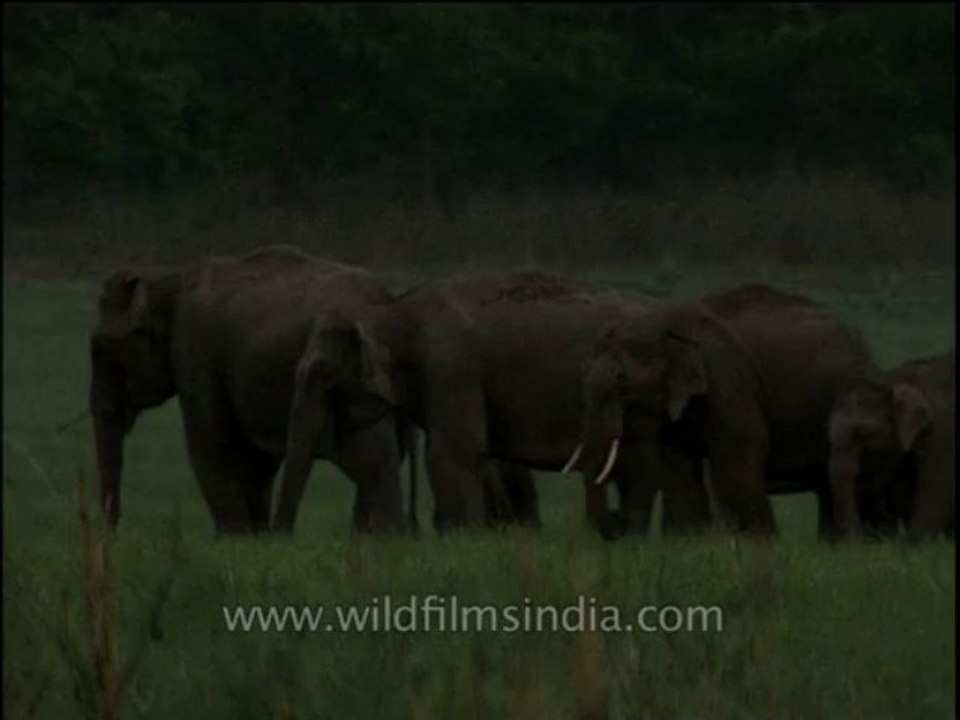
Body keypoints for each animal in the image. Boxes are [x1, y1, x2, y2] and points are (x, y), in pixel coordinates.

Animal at [89, 245, 412, 535]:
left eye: (101, 348)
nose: (111, 533)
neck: (168, 277)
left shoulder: (195, 353)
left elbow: (210, 441)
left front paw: (234, 538)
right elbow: (258, 459)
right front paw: (254, 537)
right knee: (377, 453)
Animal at [271, 270, 658, 535]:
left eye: (322, 373)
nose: (282, 539)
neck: (393, 309)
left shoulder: (451, 367)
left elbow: (452, 454)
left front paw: (465, 539)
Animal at [573, 284, 877, 538]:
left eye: (623, 383)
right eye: (583, 376)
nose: (615, 518)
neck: (658, 320)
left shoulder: (726, 376)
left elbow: (738, 454)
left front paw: (758, 543)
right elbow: (678, 464)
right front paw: (689, 540)